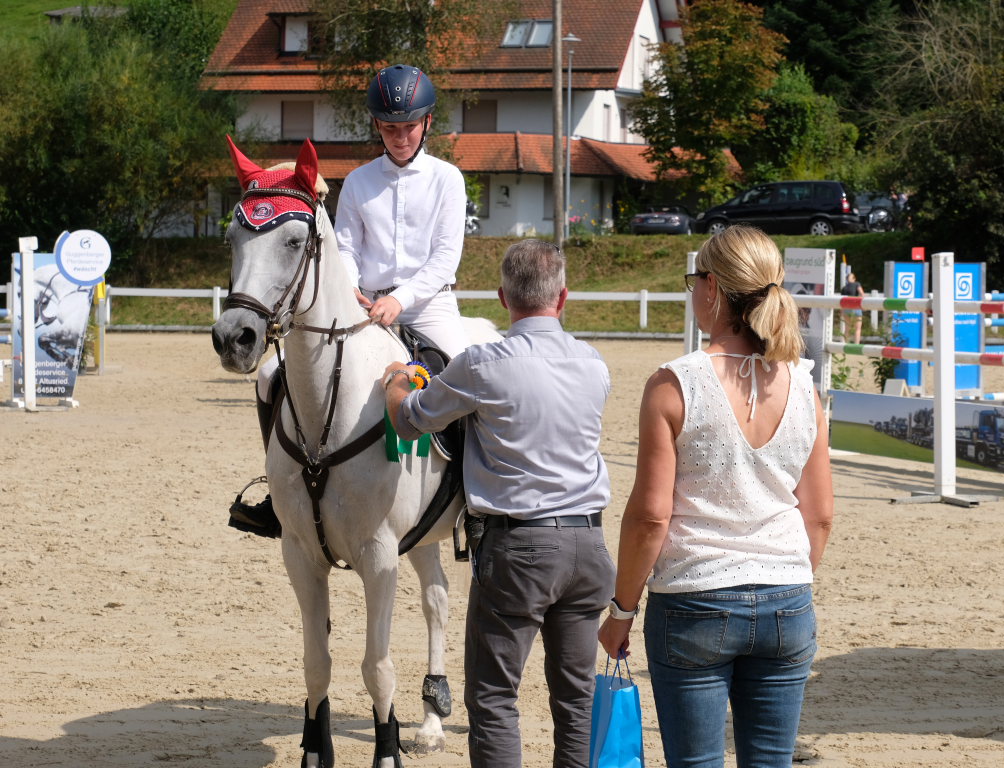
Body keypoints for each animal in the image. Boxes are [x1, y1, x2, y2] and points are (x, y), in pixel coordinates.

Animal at [211, 137, 499, 768]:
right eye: (234, 239)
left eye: (295, 242)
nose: (234, 339)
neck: (331, 408)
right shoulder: (301, 554)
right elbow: (317, 664)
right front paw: (314, 751)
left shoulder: (379, 555)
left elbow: (377, 667)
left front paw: (386, 754)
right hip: (423, 537)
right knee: (437, 601)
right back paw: (431, 720)